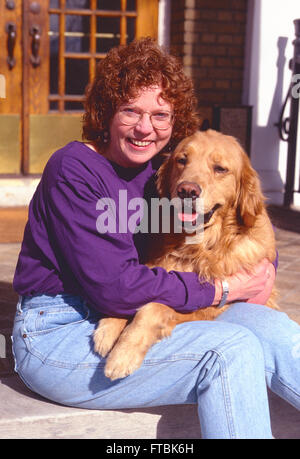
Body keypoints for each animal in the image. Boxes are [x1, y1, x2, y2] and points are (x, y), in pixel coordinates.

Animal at [94, 129, 278, 380]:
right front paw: (108, 328)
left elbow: (154, 307)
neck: (198, 246)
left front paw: (123, 354)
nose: (187, 190)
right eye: (182, 160)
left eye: (220, 168)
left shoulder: (210, 306)